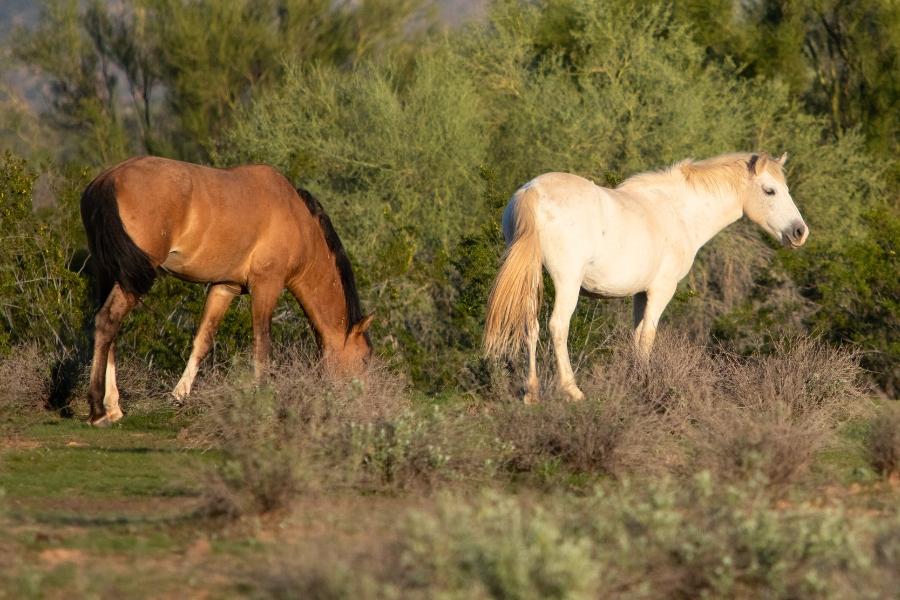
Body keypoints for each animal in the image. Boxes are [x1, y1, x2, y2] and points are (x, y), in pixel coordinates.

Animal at [80, 156, 373, 426]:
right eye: (364, 359)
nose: (359, 404)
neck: (296, 217)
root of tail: (107, 180)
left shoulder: (225, 287)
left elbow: (203, 340)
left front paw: (179, 395)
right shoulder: (266, 286)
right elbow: (262, 346)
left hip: (109, 272)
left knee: (110, 330)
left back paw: (113, 407)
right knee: (108, 320)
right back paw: (98, 410)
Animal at [483, 152, 807, 404]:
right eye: (770, 191)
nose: (800, 232)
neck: (678, 211)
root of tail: (532, 191)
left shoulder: (640, 294)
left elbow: (636, 337)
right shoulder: (661, 290)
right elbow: (647, 337)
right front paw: (644, 384)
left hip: (532, 278)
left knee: (531, 327)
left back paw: (531, 392)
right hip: (567, 282)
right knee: (557, 326)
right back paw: (572, 390)